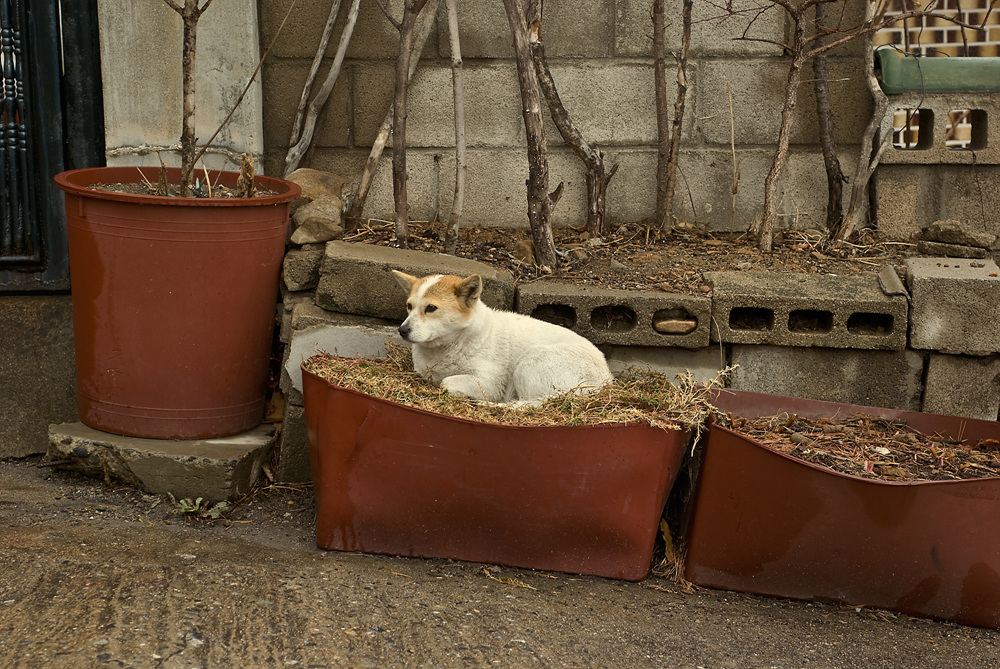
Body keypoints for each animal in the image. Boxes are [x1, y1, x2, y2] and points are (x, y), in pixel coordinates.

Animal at [392, 272, 612, 402]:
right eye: (409, 306)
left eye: (431, 308)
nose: (402, 330)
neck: (458, 342)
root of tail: (607, 380)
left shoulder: (490, 382)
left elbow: (446, 382)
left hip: (531, 360)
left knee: (533, 404)